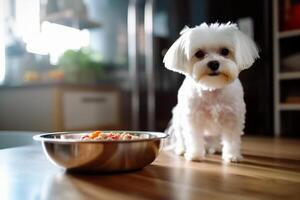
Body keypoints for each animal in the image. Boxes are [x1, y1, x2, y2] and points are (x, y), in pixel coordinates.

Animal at [163, 22, 258, 162]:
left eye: (225, 51)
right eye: (199, 53)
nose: (214, 63)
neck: (212, 87)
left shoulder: (233, 117)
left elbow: (231, 139)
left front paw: (232, 155)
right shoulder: (193, 117)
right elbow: (194, 137)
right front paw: (195, 155)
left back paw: (216, 148)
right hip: (178, 118)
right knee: (181, 137)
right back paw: (182, 149)